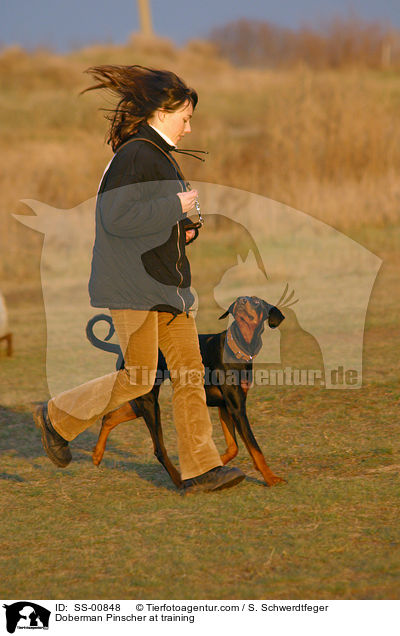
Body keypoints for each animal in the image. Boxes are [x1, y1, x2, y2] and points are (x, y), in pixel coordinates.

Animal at [86, 296, 286, 490]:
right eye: (241, 300)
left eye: (256, 301)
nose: (241, 301)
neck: (238, 347)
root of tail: (125, 350)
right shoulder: (237, 409)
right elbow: (255, 448)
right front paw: (271, 478)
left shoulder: (225, 407)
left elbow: (233, 447)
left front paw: (214, 467)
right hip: (150, 403)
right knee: (158, 449)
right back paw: (179, 481)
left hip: (140, 402)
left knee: (109, 417)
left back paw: (97, 454)